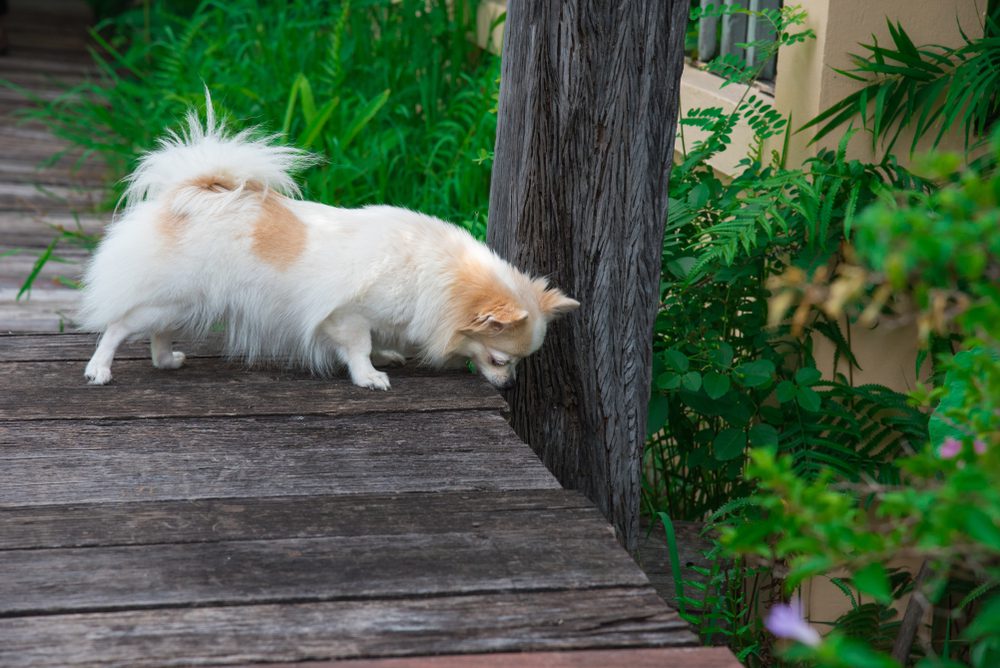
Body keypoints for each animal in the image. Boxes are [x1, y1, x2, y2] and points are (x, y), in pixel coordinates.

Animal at [80, 106, 580, 388]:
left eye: (517, 364)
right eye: (500, 360)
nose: (508, 385)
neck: (436, 277)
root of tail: (188, 192)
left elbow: (378, 339)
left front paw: (385, 356)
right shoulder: (346, 316)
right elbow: (358, 346)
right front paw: (370, 377)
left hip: (184, 302)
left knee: (158, 333)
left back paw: (167, 361)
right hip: (170, 298)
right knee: (119, 326)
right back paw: (99, 370)